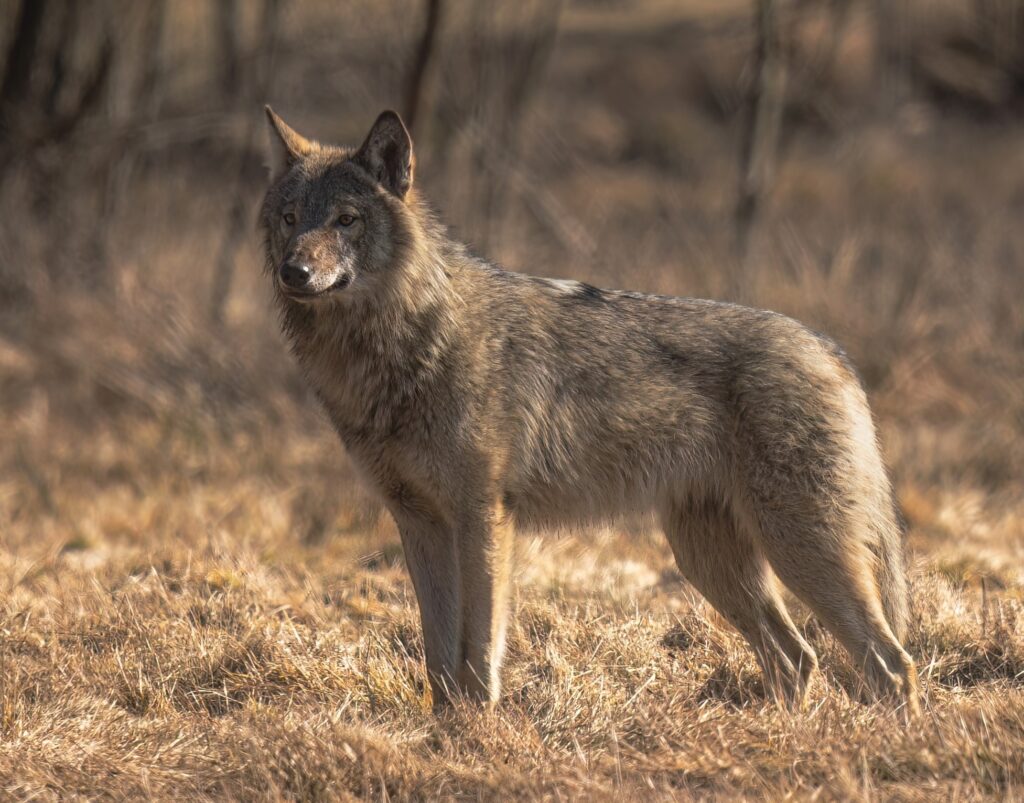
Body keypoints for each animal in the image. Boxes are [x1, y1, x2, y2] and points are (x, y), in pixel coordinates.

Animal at [260, 106, 925, 716]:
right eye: (290, 219)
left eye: (346, 220)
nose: (295, 270)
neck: (405, 344)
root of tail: (831, 350)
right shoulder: (419, 523)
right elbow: (437, 655)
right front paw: (444, 734)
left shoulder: (483, 518)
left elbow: (479, 649)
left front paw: (479, 732)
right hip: (710, 560)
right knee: (798, 656)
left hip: (798, 550)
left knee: (891, 663)